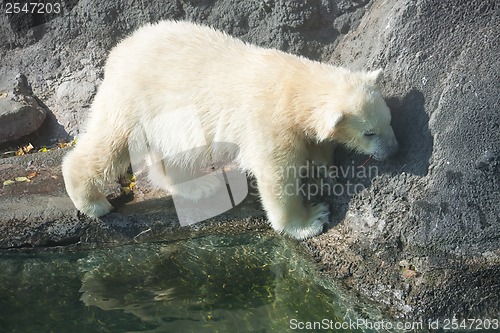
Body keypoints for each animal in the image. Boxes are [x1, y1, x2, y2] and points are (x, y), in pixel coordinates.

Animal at [62, 20, 398, 239]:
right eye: (369, 132)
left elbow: (315, 147)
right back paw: (92, 202)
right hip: (135, 99)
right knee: (110, 142)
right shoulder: (267, 120)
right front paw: (310, 220)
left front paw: (325, 169)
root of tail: (119, 50)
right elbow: (276, 174)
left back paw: (199, 185)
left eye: (389, 121)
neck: (293, 85)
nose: (393, 150)